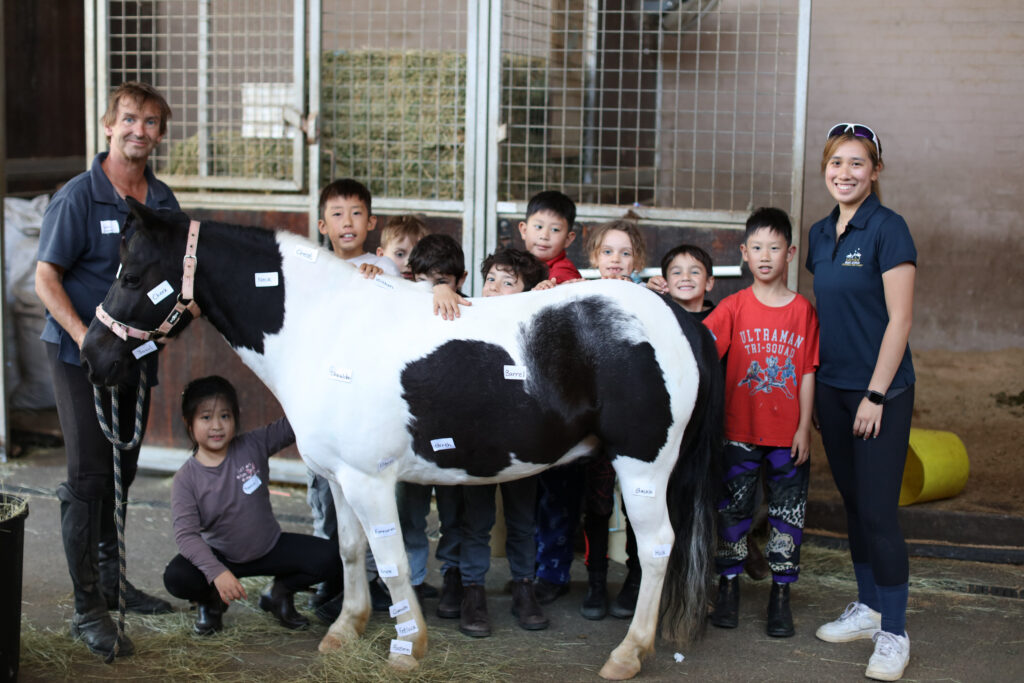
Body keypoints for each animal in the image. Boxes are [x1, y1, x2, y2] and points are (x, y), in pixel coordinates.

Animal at [79, 197, 724, 679]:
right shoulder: (340, 479)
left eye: (133, 274)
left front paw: (407, 647)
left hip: (642, 468)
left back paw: (628, 654)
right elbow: (349, 550)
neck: (324, 328)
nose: (92, 357)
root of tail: (678, 319)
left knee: (659, 547)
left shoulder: (370, 482)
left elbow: (389, 561)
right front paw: (345, 631)